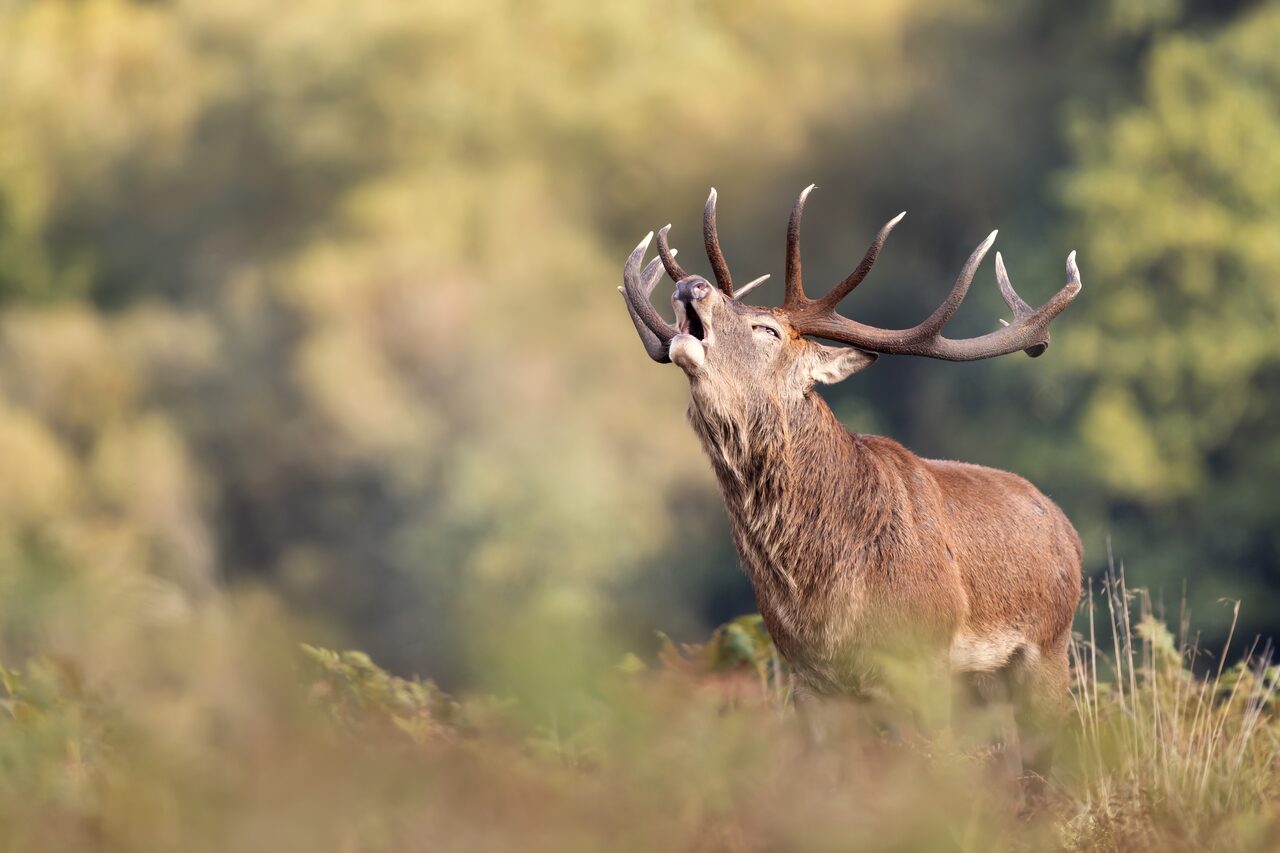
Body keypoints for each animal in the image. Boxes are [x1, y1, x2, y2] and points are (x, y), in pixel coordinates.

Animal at [617, 186, 1083, 784]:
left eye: (766, 329)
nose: (691, 285)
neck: (827, 583)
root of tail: (1068, 532)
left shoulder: (923, 658)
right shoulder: (809, 676)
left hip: (1048, 648)